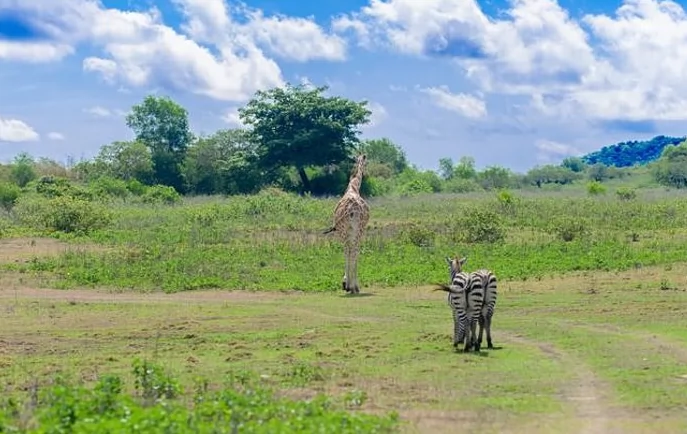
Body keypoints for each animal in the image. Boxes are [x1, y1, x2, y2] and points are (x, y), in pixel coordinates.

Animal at [324, 154, 370, 294]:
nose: (367, 174)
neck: (353, 187)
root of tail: (351, 211)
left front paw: (345, 283)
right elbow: (354, 252)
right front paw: (350, 284)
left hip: (346, 230)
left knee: (347, 250)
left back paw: (350, 285)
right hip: (355, 229)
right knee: (353, 250)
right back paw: (353, 286)